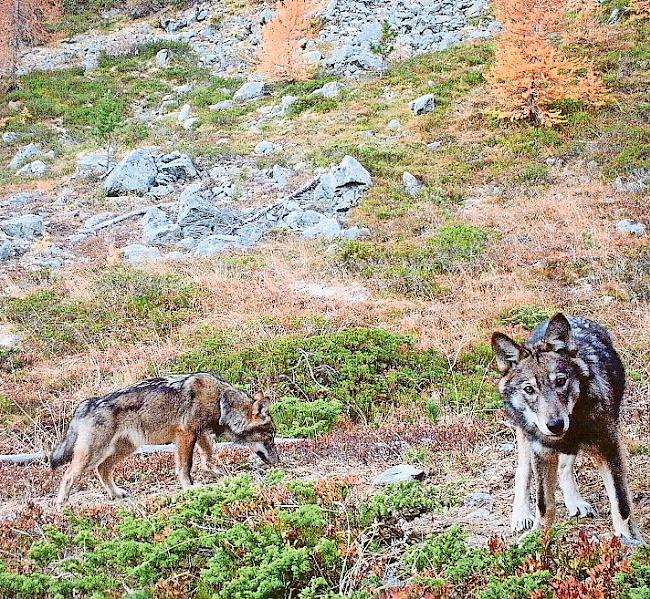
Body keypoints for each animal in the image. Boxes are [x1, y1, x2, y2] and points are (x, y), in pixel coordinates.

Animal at [47, 376, 276, 506]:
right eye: (270, 437)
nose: (278, 462)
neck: (221, 400)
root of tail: (86, 404)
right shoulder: (185, 434)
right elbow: (185, 466)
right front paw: (190, 488)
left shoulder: (199, 433)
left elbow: (209, 454)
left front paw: (216, 473)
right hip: (93, 454)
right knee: (68, 475)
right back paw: (60, 505)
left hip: (125, 449)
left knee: (102, 469)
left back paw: (116, 494)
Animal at [492, 316, 644, 548]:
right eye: (529, 389)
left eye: (560, 381)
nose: (555, 425)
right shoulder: (542, 453)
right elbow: (544, 503)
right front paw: (538, 537)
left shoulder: (609, 447)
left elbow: (621, 502)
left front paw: (628, 538)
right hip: (526, 438)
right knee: (522, 472)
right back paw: (521, 515)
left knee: (564, 467)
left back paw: (575, 503)